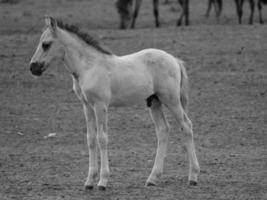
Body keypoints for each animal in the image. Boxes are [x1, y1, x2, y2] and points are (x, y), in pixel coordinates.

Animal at [30, 16, 200, 189]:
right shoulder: (87, 106)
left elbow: (102, 138)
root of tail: (174, 59)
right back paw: (152, 178)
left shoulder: (100, 105)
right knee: (163, 130)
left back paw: (193, 176)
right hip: (154, 101)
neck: (88, 67)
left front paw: (102, 181)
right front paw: (89, 181)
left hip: (171, 100)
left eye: (46, 44)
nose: (33, 67)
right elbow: (91, 139)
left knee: (186, 126)